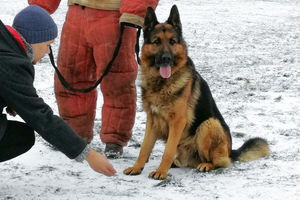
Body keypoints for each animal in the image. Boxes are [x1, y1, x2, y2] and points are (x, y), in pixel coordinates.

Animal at [123, 4, 268, 180]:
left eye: (172, 41)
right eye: (157, 41)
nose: (166, 58)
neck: (162, 83)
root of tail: (230, 151)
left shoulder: (177, 122)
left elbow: (167, 151)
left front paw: (161, 171)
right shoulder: (152, 121)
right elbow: (144, 148)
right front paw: (137, 167)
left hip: (209, 125)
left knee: (220, 162)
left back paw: (206, 165)